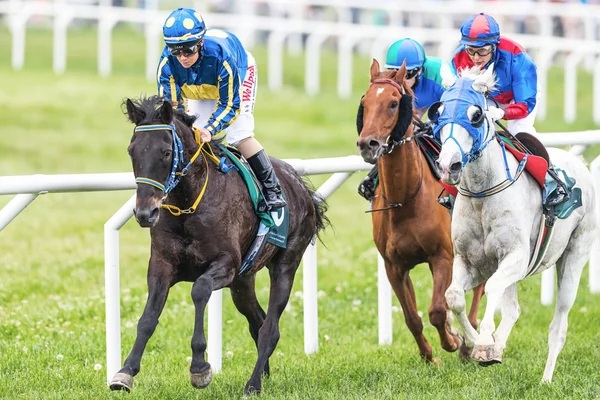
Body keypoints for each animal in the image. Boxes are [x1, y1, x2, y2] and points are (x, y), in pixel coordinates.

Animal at [110, 96, 330, 394]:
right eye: (132, 151)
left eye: (166, 152)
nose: (145, 213)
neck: (188, 203)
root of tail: (302, 187)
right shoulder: (161, 265)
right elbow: (147, 319)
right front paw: (125, 372)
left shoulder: (225, 264)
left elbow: (200, 290)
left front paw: (200, 368)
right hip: (243, 281)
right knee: (257, 321)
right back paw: (264, 374)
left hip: (285, 264)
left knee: (270, 328)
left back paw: (253, 383)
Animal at [356, 60, 482, 362]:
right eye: (365, 102)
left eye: (393, 103)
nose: (368, 144)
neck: (405, 201)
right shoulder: (394, 266)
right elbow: (412, 317)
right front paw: (429, 356)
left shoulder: (442, 257)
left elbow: (437, 310)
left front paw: (453, 340)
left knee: (480, 289)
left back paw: (469, 340)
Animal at [432, 65, 596, 382]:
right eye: (439, 111)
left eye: (476, 115)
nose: (449, 166)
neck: (482, 193)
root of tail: (580, 163)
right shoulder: (471, 262)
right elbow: (454, 296)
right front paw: (475, 342)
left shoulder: (517, 257)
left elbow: (493, 289)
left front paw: (484, 342)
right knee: (513, 309)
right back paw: (497, 347)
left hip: (575, 255)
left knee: (559, 323)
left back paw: (546, 379)